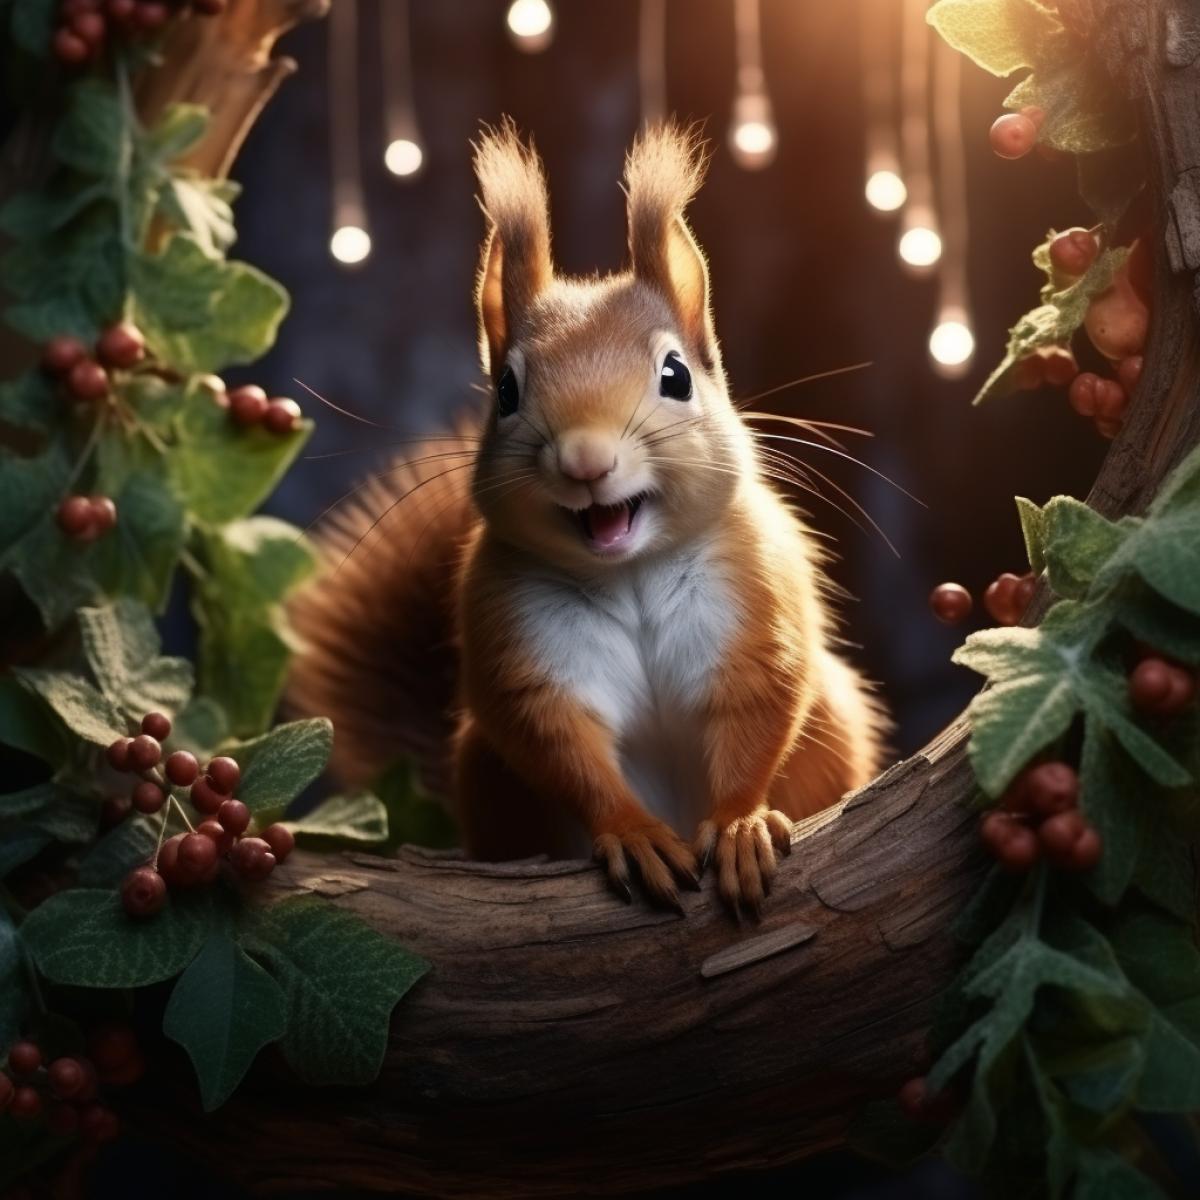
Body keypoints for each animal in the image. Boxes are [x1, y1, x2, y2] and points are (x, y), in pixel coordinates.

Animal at [287, 121, 889, 917]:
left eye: (676, 376)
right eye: (506, 392)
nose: (585, 459)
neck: (629, 574)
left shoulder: (754, 607)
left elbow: (757, 718)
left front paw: (738, 826)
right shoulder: (527, 641)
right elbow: (561, 747)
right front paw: (634, 834)